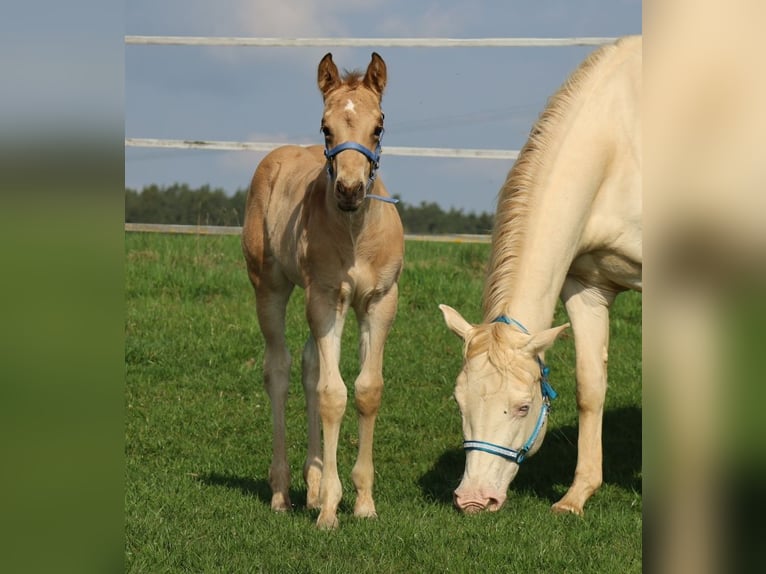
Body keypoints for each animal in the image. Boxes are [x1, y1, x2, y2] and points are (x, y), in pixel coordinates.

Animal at [241, 52, 404, 529]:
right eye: (325, 126)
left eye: (379, 126)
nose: (349, 190)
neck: (354, 233)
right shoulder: (326, 299)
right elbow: (334, 395)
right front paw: (331, 508)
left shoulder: (379, 301)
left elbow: (367, 390)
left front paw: (364, 502)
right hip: (270, 287)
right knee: (279, 370)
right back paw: (282, 493)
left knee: (310, 367)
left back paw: (311, 488)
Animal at [439, 35, 641, 515]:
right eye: (459, 402)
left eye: (522, 406)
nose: (473, 499)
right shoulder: (587, 289)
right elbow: (590, 388)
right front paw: (576, 496)